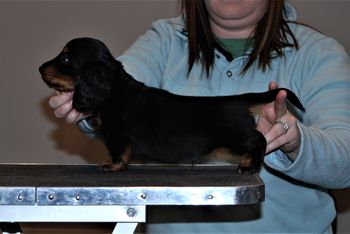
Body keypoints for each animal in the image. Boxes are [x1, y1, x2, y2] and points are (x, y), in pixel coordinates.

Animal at [39, 37, 304, 174]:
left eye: (65, 58)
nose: (40, 68)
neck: (114, 88)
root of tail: (238, 99)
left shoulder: (117, 134)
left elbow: (117, 151)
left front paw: (112, 165)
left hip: (236, 136)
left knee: (260, 139)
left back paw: (249, 165)